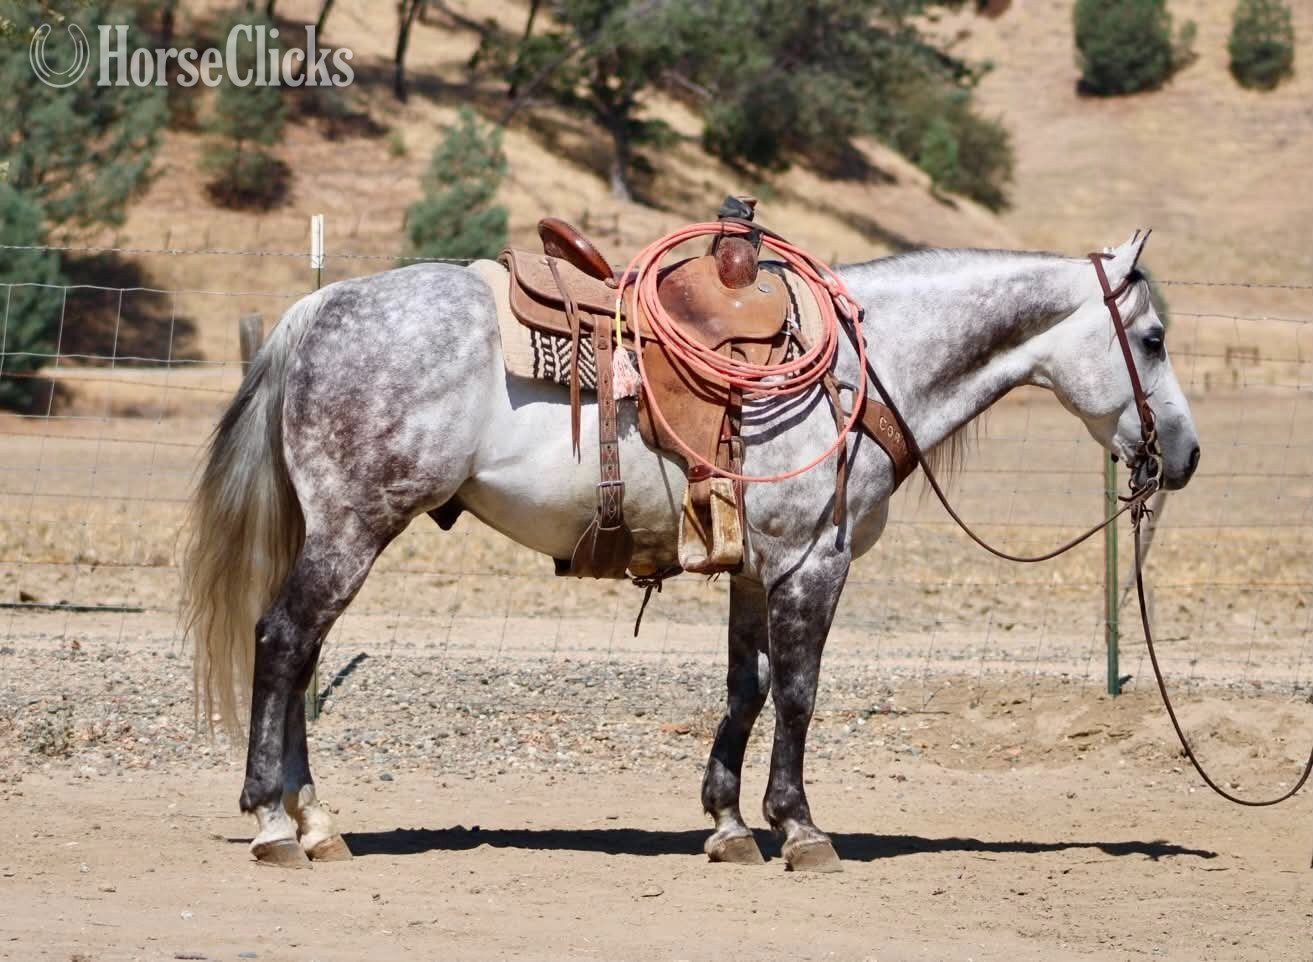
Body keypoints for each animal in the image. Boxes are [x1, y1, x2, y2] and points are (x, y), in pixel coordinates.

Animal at [184, 229, 1200, 871]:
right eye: (1151, 339)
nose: (1184, 455)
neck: (859, 371)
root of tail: (320, 305)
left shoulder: (756, 568)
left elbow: (745, 690)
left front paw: (728, 823)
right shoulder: (813, 564)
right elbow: (798, 694)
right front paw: (799, 829)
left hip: (343, 530)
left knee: (300, 652)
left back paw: (317, 820)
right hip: (353, 528)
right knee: (283, 640)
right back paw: (272, 820)